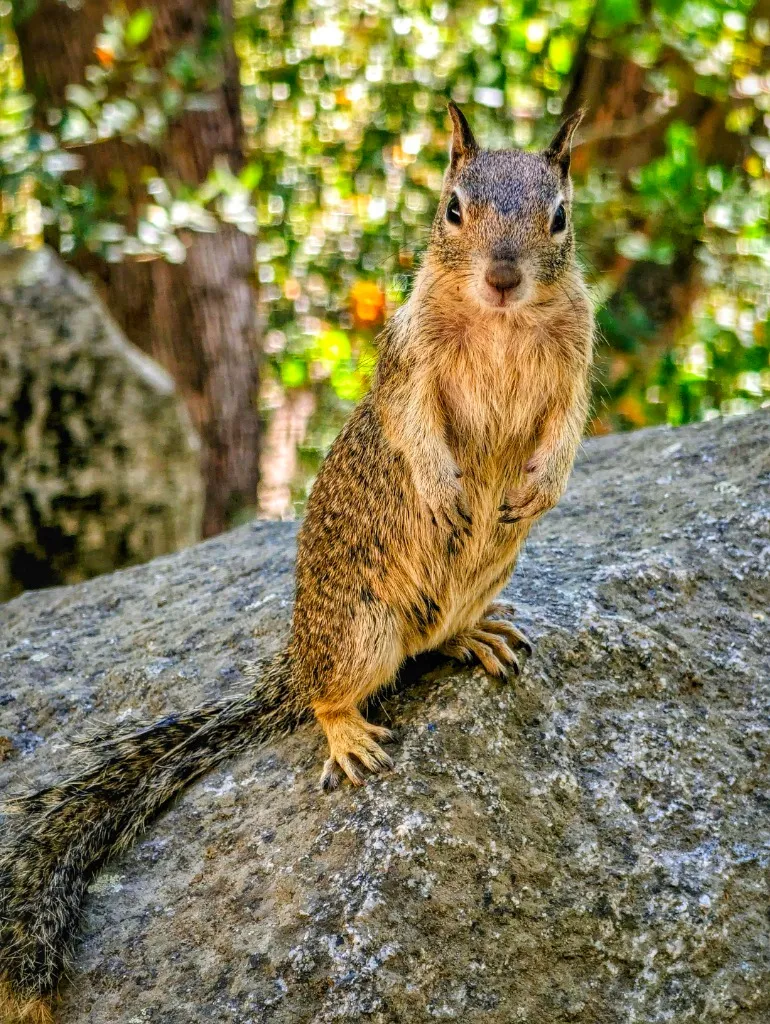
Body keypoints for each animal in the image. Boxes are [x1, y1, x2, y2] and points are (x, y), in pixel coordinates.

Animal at [0, 102, 593, 1023]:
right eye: (453, 208)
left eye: (559, 217)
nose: (502, 277)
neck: (500, 321)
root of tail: (297, 652)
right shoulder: (408, 360)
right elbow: (414, 424)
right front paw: (447, 490)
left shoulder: (575, 356)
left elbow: (565, 427)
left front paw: (538, 486)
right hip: (357, 631)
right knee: (326, 695)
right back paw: (346, 732)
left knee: (434, 642)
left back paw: (473, 636)